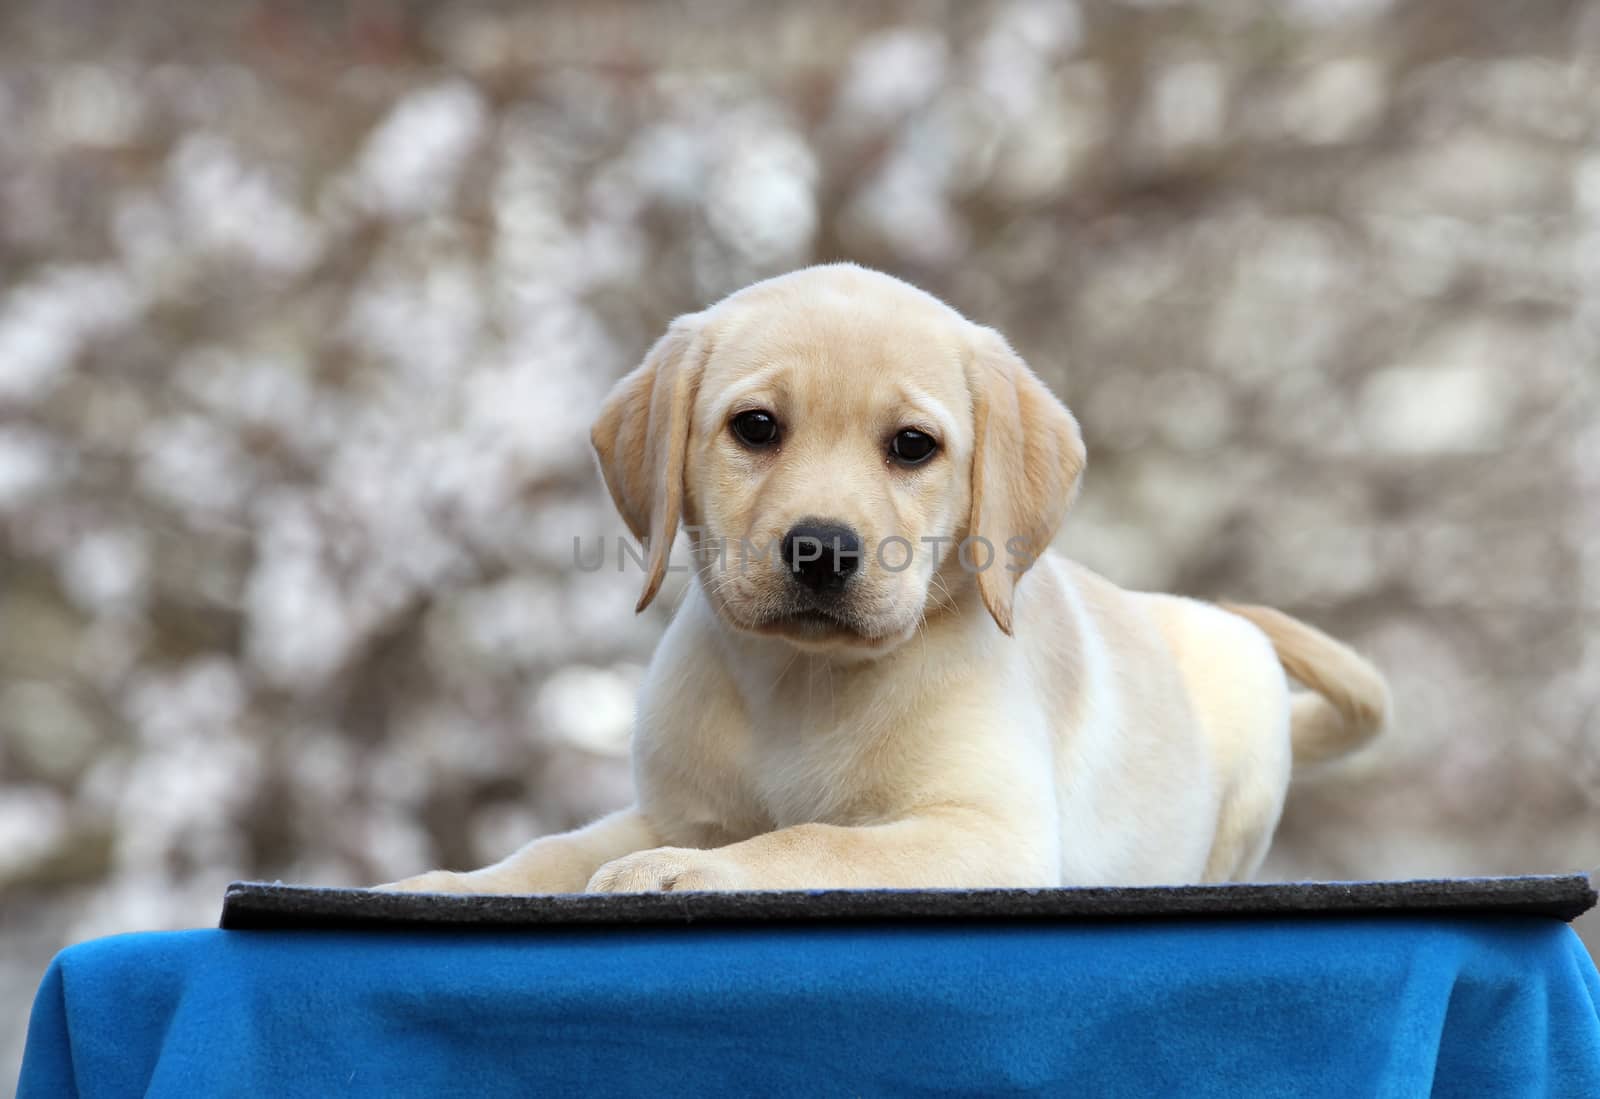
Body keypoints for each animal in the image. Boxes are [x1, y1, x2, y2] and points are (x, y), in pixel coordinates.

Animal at [377, 263, 1388, 895]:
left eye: (912, 446)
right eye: (755, 427)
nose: (822, 549)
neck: (802, 681)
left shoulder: (986, 835)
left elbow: (811, 839)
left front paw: (695, 872)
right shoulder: (672, 808)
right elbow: (550, 851)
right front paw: (443, 883)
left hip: (1240, 692)